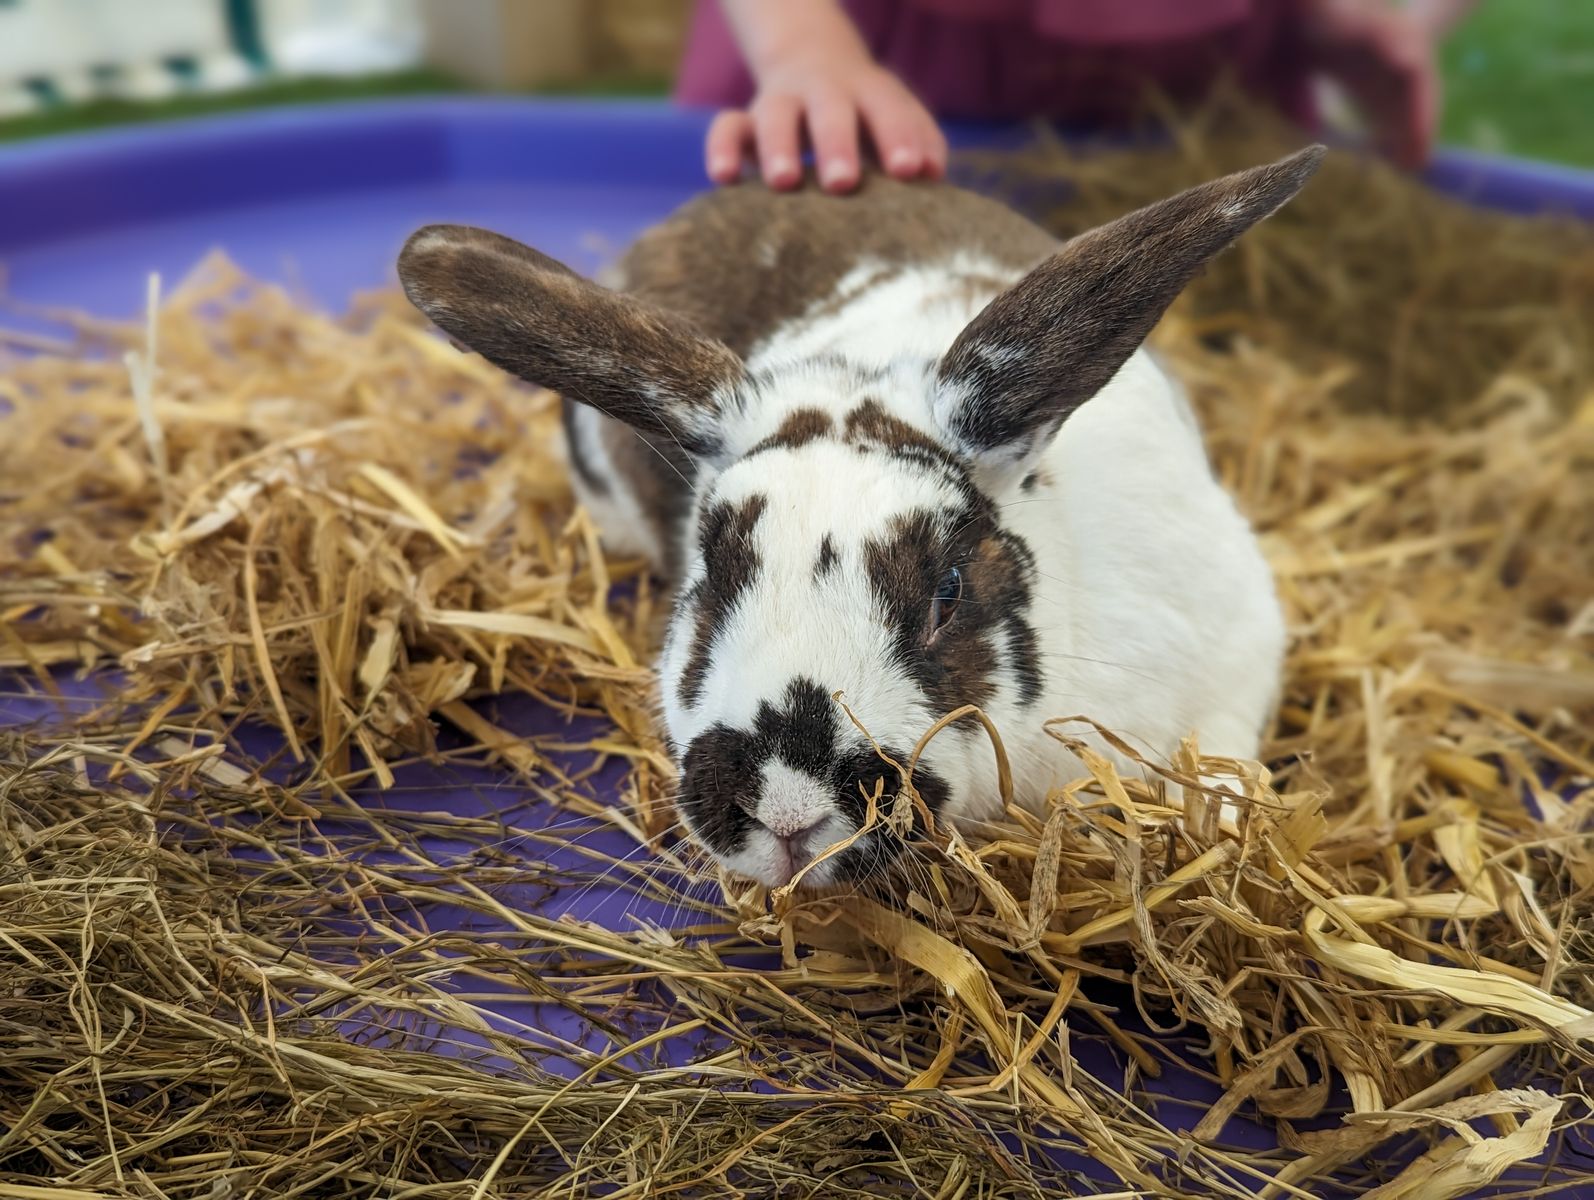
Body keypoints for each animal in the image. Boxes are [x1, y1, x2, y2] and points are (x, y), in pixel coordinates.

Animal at [398, 142, 1319, 892]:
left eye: (949, 590)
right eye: (711, 575)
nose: (786, 807)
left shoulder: (1238, 648)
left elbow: (1225, 765)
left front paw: (1224, 825)